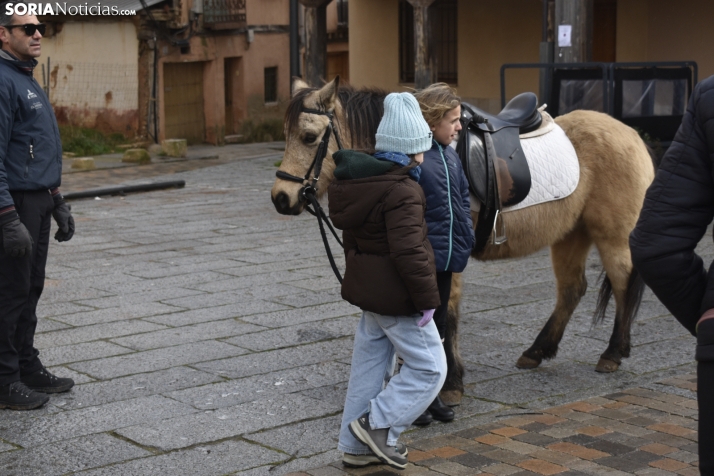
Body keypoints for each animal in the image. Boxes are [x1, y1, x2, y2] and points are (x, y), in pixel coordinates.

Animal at [270, 76, 652, 404]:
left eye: (308, 137)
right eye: (286, 134)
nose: (281, 198)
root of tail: (630, 134)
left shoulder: (445, 255)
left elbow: (445, 314)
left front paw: (449, 383)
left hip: (611, 235)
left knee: (622, 283)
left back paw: (613, 352)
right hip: (570, 234)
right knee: (572, 289)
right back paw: (537, 351)